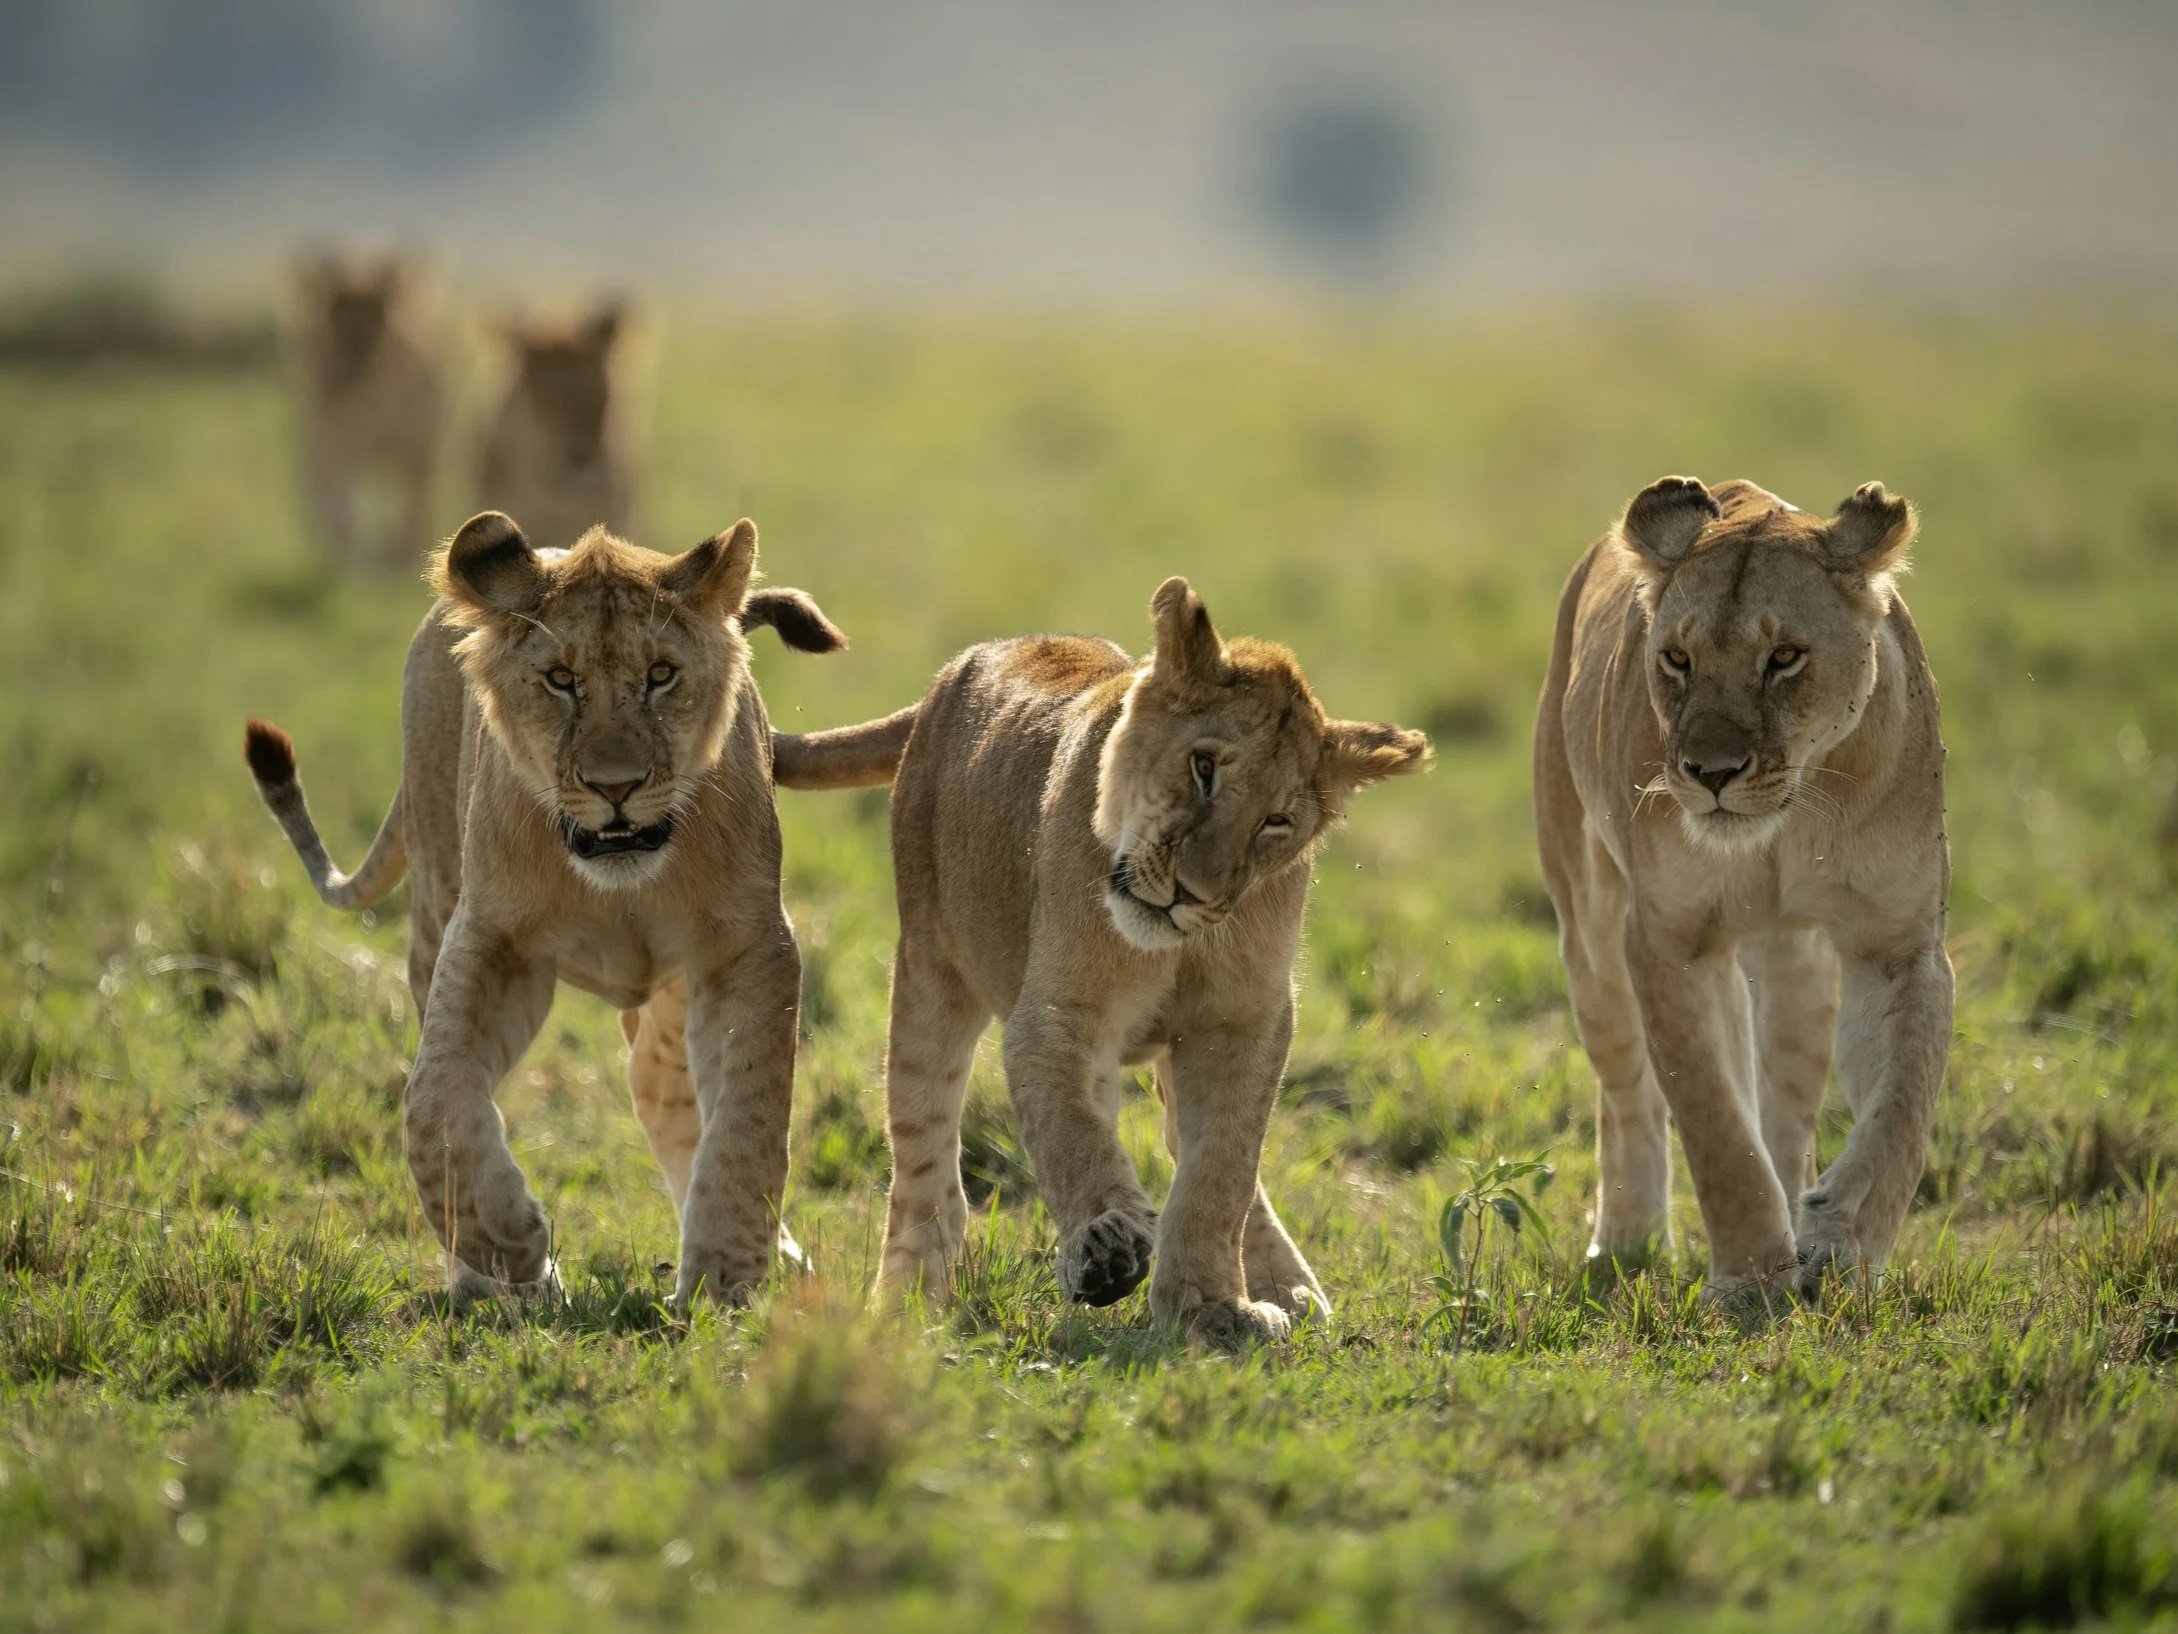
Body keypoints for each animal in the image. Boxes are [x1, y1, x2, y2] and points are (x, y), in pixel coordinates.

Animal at [244, 511, 848, 1306]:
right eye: (561, 681)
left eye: (661, 675)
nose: (616, 786)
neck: (619, 878)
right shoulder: (491, 940)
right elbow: (434, 1098)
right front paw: (510, 1247)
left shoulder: (748, 946)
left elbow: (749, 1114)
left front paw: (724, 1281)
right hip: (434, 894)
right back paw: (477, 1281)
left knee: (663, 1092)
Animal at [291, 250, 444, 572]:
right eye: (332, 315)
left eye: (382, 317)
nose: (351, 365)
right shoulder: (336, 445)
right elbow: (339, 507)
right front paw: (354, 562)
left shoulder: (417, 448)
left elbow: (414, 507)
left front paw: (403, 556)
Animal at [772, 579, 1429, 1344]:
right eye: (1203, 768)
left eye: (1277, 822)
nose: (1192, 893)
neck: (1176, 948)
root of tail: (964, 664)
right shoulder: (1057, 1014)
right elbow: (1072, 1134)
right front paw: (1105, 1249)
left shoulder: (1246, 1021)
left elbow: (1223, 1169)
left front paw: (1213, 1307)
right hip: (930, 969)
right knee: (924, 1155)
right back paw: (904, 1303)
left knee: (1188, 1144)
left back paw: (1289, 1288)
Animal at [1533, 475, 1952, 1300]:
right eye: (1677, 659)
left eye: (1784, 657)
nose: (1711, 773)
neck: (1786, 823)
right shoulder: (1668, 941)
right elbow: (1713, 1122)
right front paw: (1753, 1280)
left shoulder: (1899, 944)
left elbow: (1902, 1108)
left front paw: (1843, 1240)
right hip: (1589, 931)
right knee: (1628, 1095)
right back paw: (1625, 1242)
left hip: (1793, 963)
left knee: (1785, 1115)